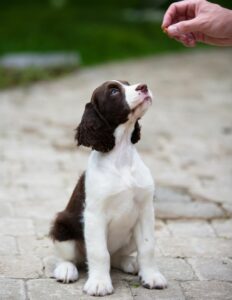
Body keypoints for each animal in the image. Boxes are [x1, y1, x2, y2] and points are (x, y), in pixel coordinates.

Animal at [50, 80, 167, 298]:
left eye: (128, 84)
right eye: (113, 91)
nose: (144, 86)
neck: (121, 158)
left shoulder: (145, 211)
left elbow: (147, 247)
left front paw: (152, 277)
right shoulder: (95, 215)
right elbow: (99, 253)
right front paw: (99, 284)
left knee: (116, 257)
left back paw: (131, 263)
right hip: (62, 225)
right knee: (69, 257)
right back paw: (66, 270)